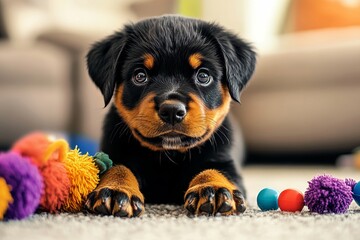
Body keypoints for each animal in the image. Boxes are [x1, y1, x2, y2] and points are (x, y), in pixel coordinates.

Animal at [84, 15, 256, 218]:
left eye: (203, 76)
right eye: (140, 76)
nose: (172, 110)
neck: (169, 158)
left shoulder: (224, 159)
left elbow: (214, 169)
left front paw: (213, 188)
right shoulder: (115, 152)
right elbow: (118, 167)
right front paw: (115, 190)